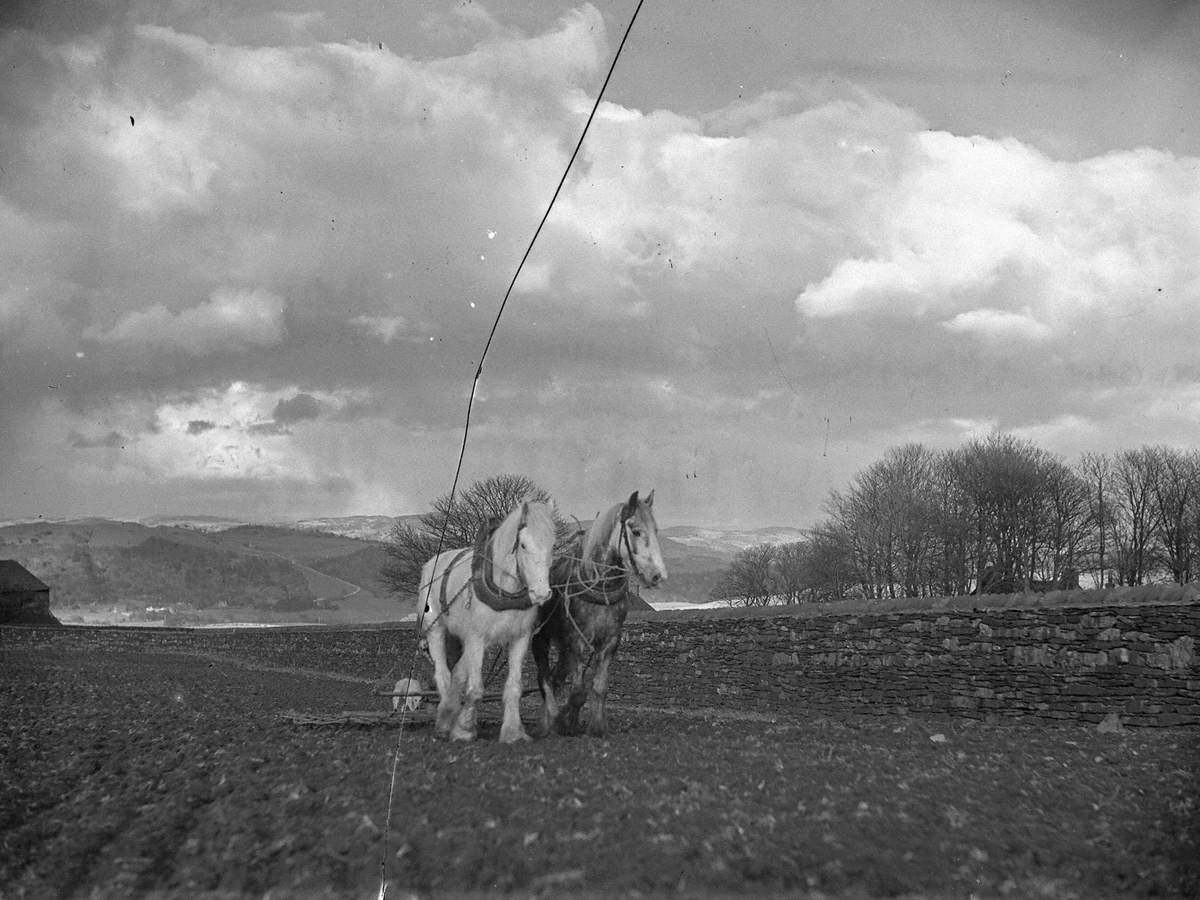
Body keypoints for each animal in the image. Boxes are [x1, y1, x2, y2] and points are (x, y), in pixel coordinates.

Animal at [417, 501, 556, 748]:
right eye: (523, 544)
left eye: (553, 544)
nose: (541, 593)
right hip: (435, 630)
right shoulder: (476, 638)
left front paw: (513, 732)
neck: (504, 588)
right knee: (443, 675)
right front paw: (463, 731)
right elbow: (475, 689)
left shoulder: (520, 638)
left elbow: (514, 686)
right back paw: (444, 721)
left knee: (457, 673)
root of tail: (431, 564)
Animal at [532, 494, 667, 739]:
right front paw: (569, 725)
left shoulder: (610, 640)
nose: (657, 575)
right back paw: (549, 723)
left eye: (656, 530)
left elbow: (599, 687)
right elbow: (577, 691)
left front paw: (596, 727)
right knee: (545, 678)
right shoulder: (577, 640)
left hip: (564, 646)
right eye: (635, 531)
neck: (599, 585)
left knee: (556, 678)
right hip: (541, 639)